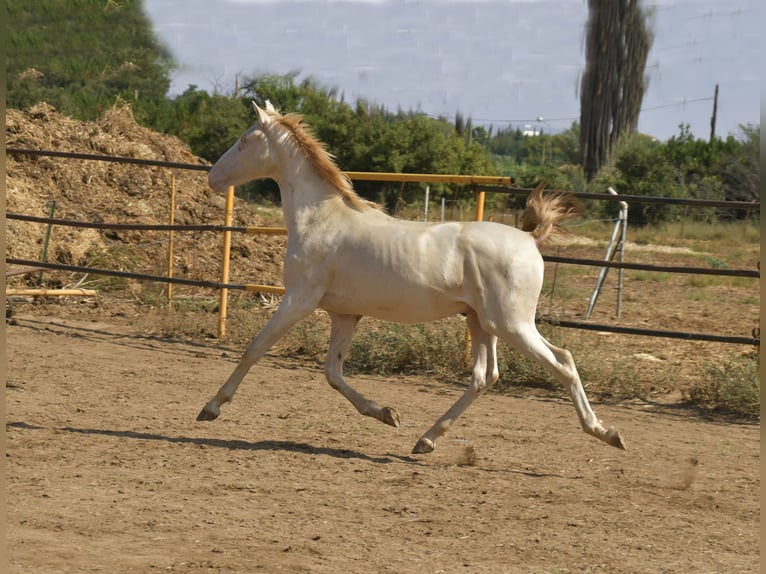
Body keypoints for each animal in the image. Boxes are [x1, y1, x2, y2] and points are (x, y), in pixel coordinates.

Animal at [195, 102, 628, 454]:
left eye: (244, 140)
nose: (213, 177)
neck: (320, 220)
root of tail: (530, 239)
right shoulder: (344, 315)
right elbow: (333, 373)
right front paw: (387, 414)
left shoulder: (298, 300)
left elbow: (254, 348)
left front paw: (211, 407)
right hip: (482, 322)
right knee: (485, 376)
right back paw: (427, 439)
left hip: (512, 323)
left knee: (562, 362)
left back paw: (606, 433)